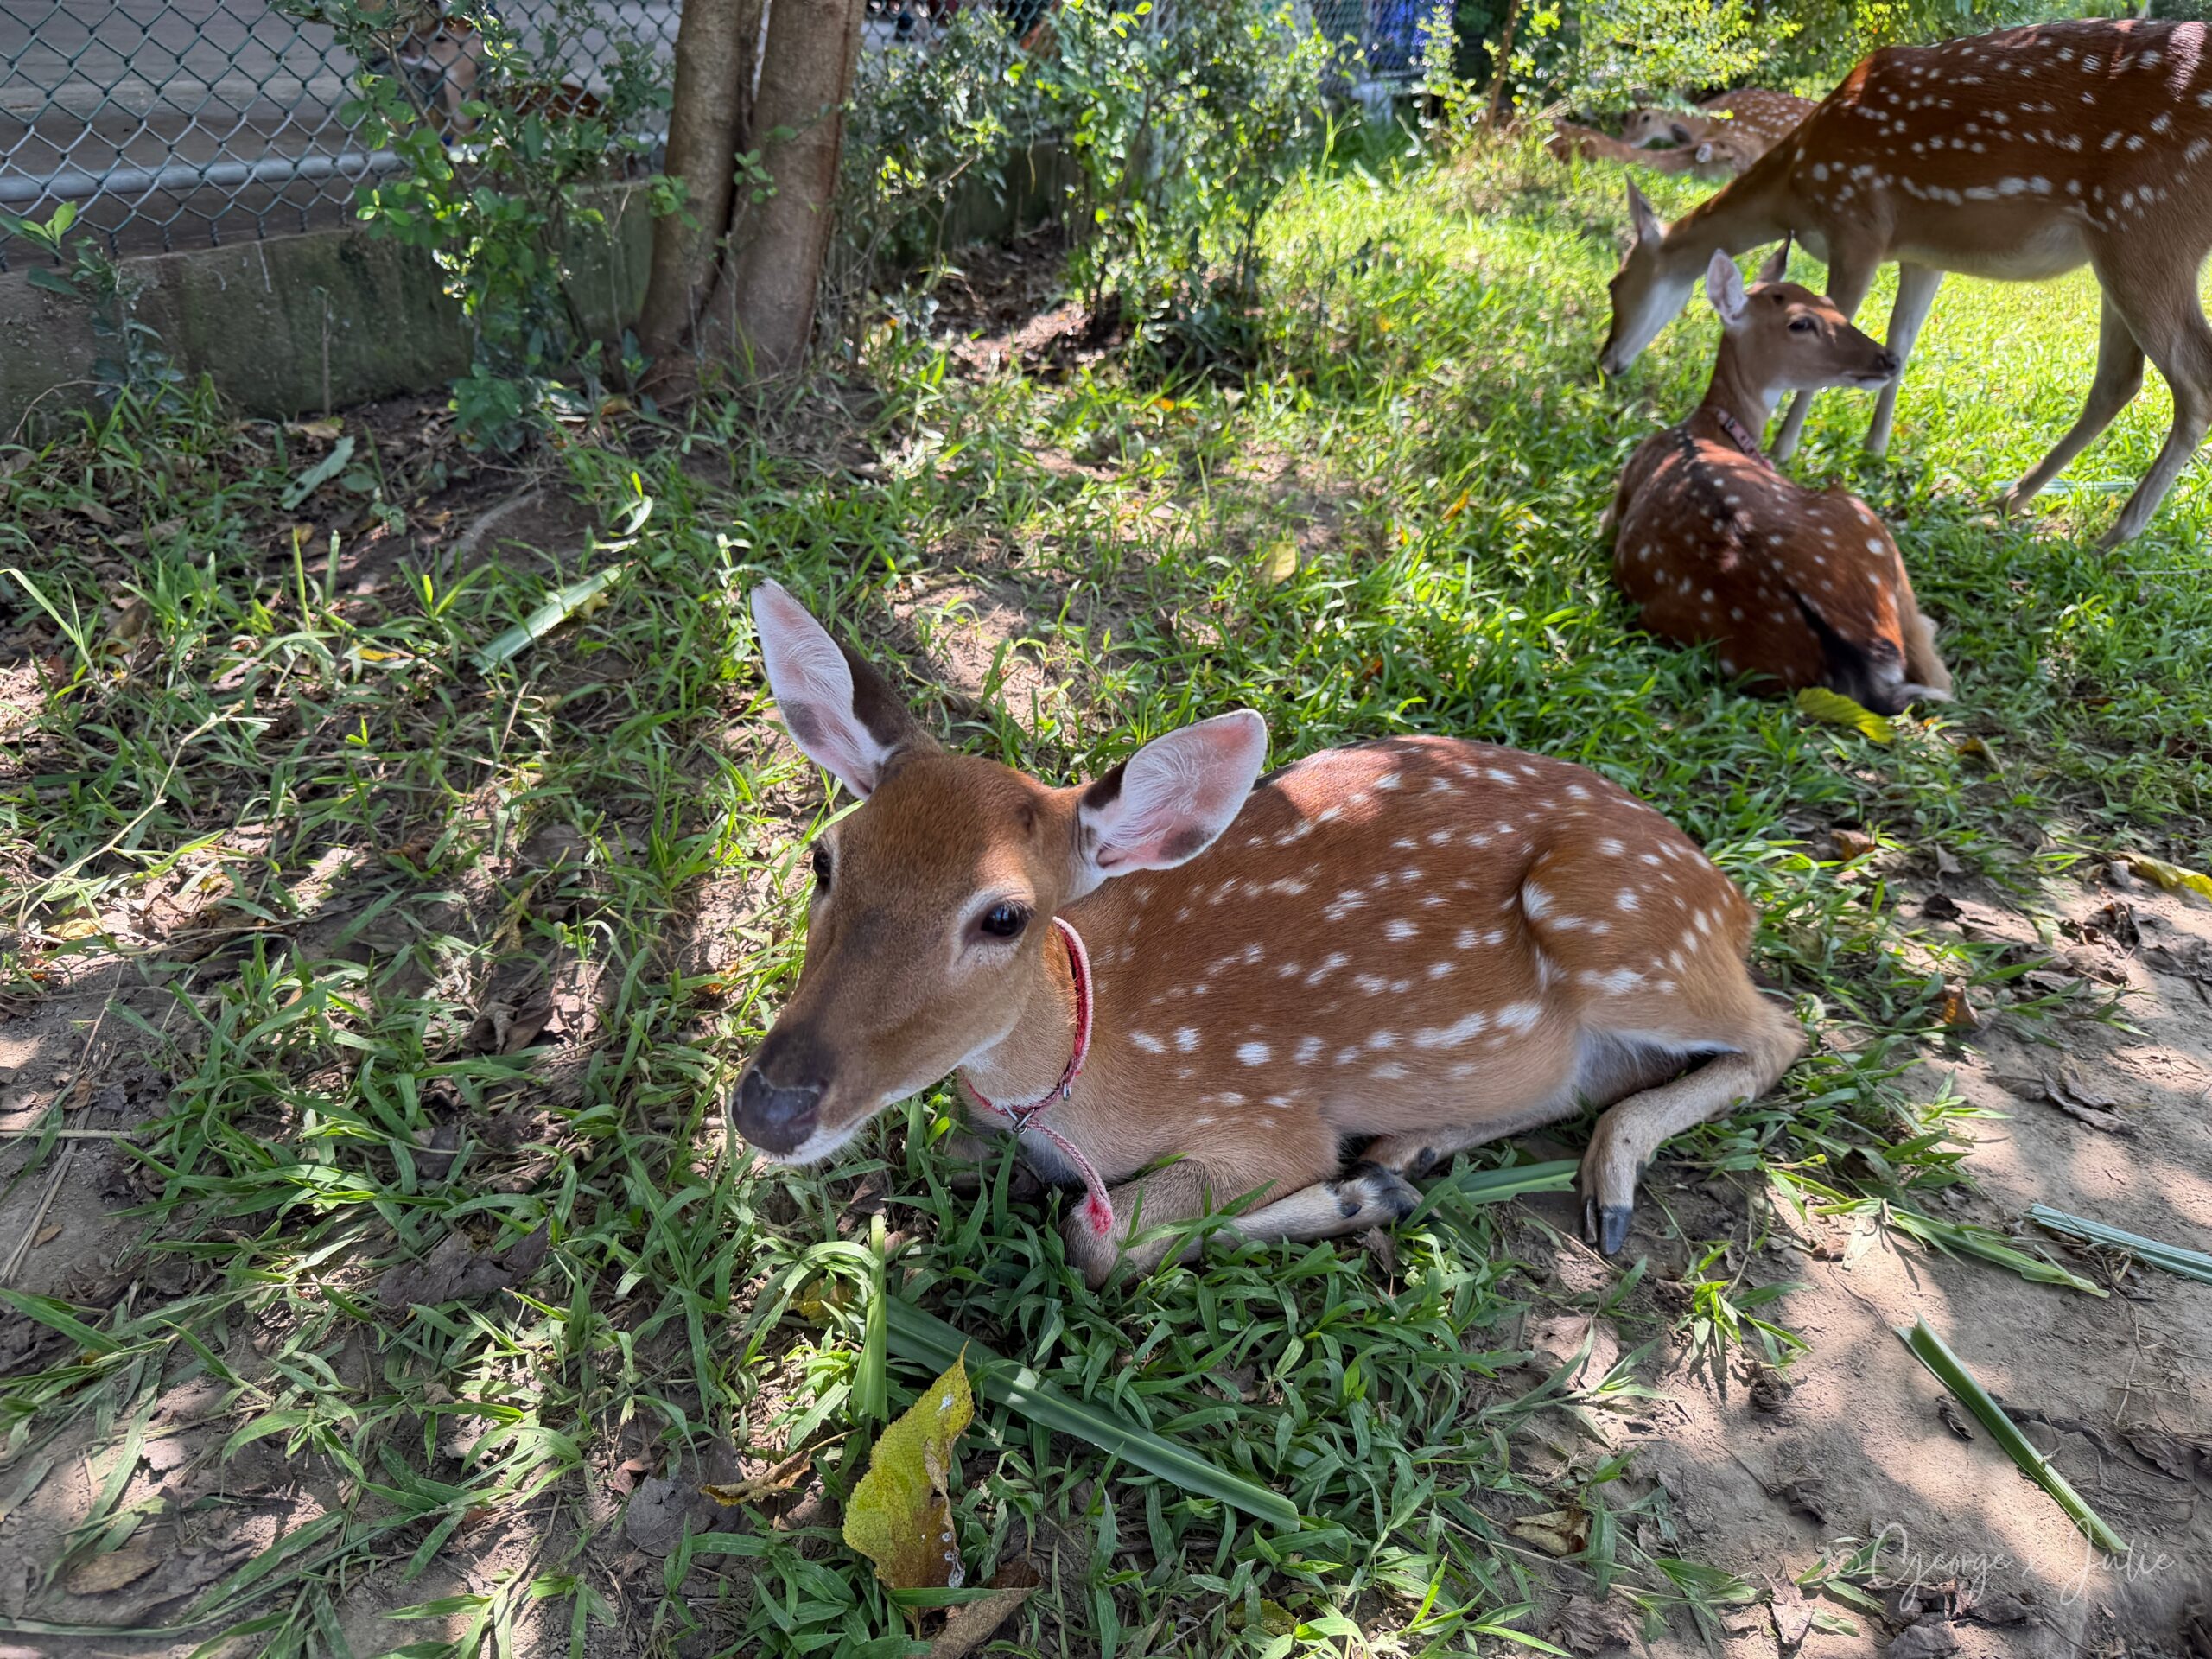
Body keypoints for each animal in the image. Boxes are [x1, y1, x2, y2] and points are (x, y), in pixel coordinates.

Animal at [731, 582, 1807, 1289]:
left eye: (1005, 915)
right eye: (825, 859)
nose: (769, 1109)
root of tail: (1731, 896)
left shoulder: (1264, 1117)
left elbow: (1101, 1240)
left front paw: (1349, 1199)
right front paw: (1373, 1186)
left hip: (1615, 920)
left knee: (1779, 1033)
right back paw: (1410, 1151)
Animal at [1597, 18, 2212, 546]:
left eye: (1614, 284)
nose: (1606, 363)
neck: (1796, 185)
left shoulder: (1858, 224)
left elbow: (1837, 338)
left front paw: (1785, 449)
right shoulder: (1923, 254)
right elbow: (1901, 343)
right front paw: (1875, 450)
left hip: (2144, 224)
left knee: (2193, 381)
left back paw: (2113, 536)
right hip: (2118, 244)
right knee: (2118, 379)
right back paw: (2011, 498)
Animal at [1605, 247, 1952, 714]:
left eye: (1831, 303)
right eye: (1800, 323)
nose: (1889, 359)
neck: (1709, 429)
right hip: (1865, 519)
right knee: (1937, 674)